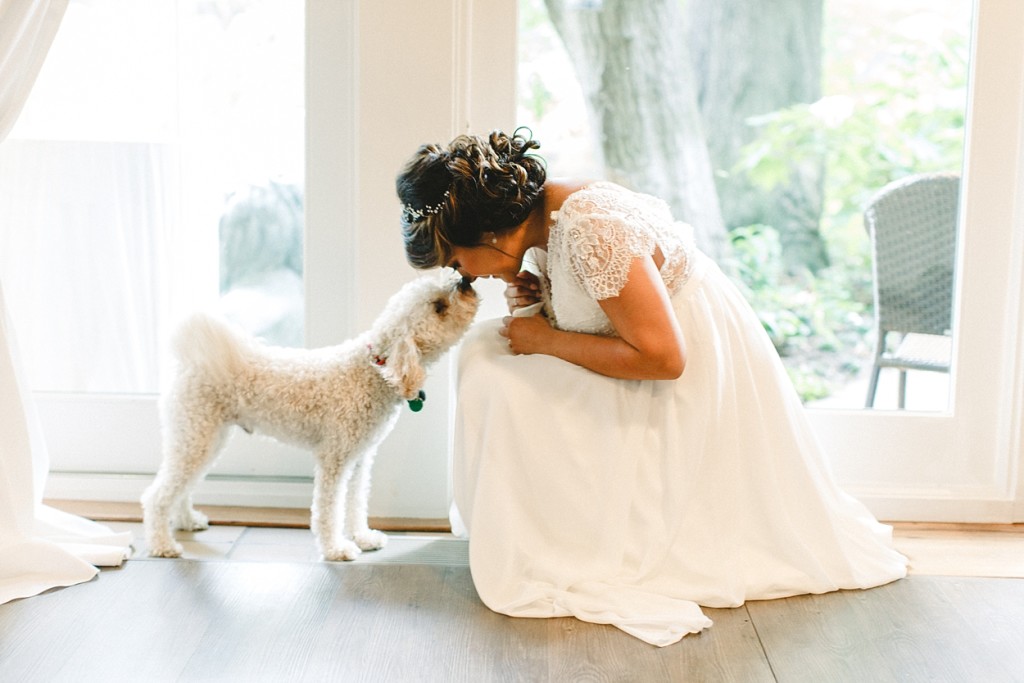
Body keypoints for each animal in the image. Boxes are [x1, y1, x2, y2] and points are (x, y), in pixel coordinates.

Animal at [141, 272, 479, 561]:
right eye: (439, 307)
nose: (464, 283)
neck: (374, 370)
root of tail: (191, 362)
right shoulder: (335, 458)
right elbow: (329, 510)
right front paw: (336, 549)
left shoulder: (359, 459)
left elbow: (355, 503)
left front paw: (363, 538)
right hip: (195, 436)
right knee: (157, 496)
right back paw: (162, 544)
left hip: (206, 439)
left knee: (182, 487)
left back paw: (186, 521)